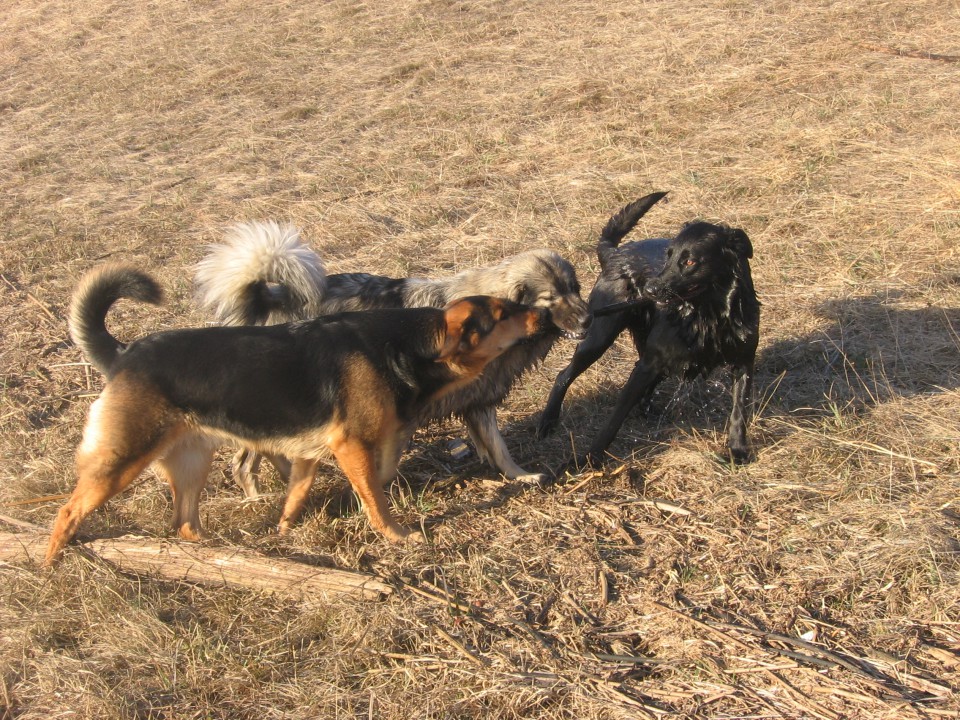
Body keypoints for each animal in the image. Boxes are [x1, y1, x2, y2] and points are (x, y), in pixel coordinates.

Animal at [47, 264, 548, 564]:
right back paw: (54, 561)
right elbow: (377, 494)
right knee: (68, 511)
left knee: (185, 523)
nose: (541, 315)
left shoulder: (311, 452)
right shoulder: (351, 445)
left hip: (192, 460)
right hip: (122, 460)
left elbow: (299, 495)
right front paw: (397, 536)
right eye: (504, 313)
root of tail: (124, 354)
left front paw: (285, 531)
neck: (406, 345)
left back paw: (223, 554)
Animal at [536, 191, 760, 466]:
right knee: (563, 375)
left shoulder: (744, 361)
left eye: (690, 260)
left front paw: (738, 449)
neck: (709, 315)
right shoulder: (647, 366)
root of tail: (614, 253)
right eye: (669, 255)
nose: (650, 289)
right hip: (599, 336)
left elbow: (739, 411)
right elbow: (613, 420)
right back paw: (548, 421)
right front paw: (590, 458)